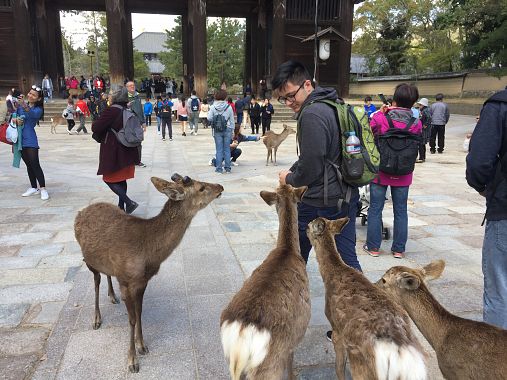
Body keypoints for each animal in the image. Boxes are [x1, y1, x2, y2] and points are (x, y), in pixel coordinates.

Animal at [221, 184, 310, 380]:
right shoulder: (295, 336)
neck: (288, 250)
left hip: (231, 361)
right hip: (270, 366)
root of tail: (243, 331)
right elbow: (291, 362)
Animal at [306, 217, 428, 380]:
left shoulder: (336, 328)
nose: (304, 228)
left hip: (362, 367)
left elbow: (339, 368)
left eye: (308, 225)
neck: (331, 274)